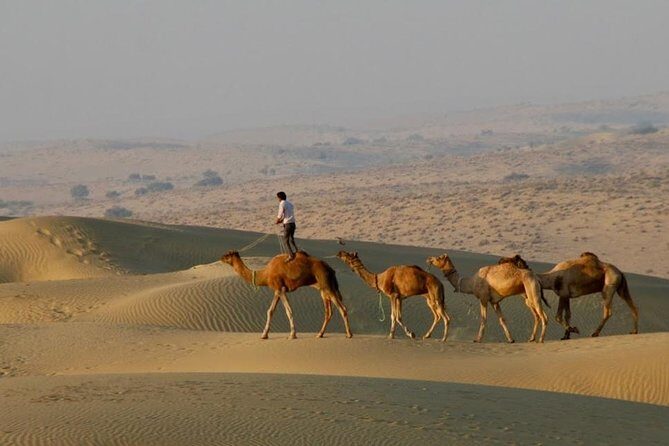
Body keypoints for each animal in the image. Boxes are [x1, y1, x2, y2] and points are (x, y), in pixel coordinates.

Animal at [220, 250, 352, 339]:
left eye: (227, 255)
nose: (221, 257)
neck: (265, 274)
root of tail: (331, 270)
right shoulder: (278, 290)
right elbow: (272, 311)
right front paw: (265, 335)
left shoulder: (279, 288)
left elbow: (286, 310)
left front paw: (292, 335)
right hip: (323, 289)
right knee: (329, 312)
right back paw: (319, 334)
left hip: (327, 286)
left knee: (343, 309)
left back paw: (349, 334)